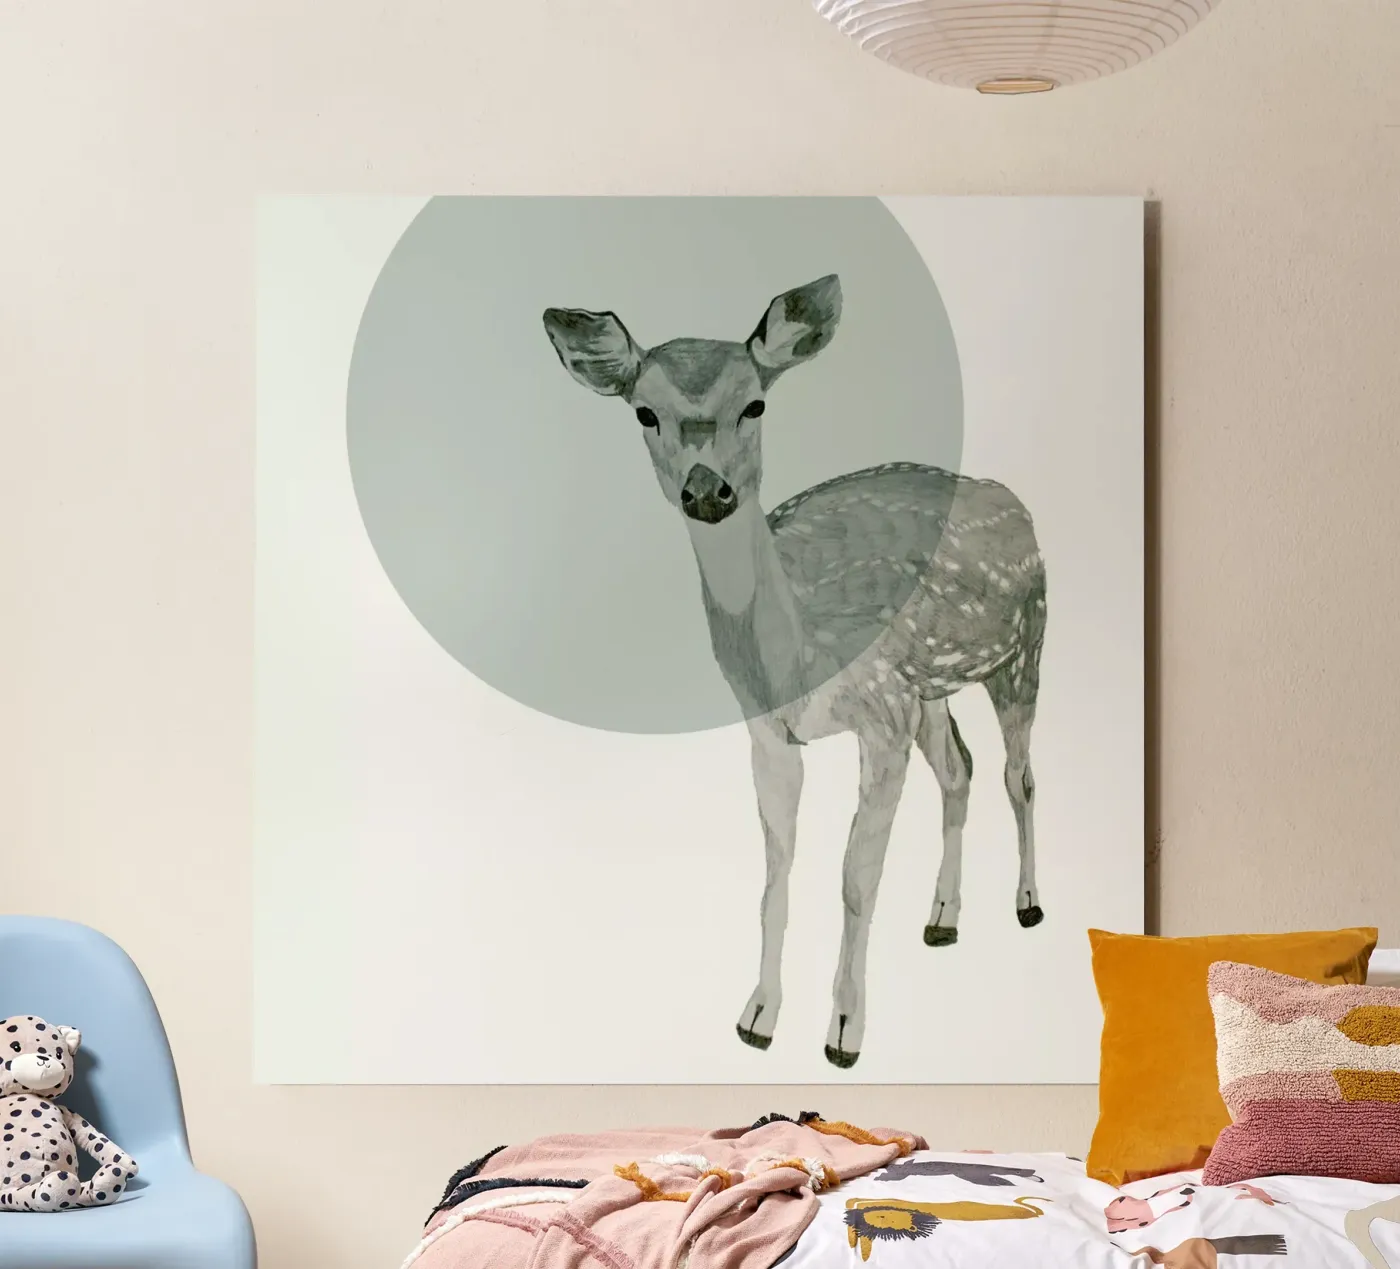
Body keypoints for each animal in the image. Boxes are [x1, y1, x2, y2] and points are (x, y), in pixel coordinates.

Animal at [543, 274, 1047, 1069]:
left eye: (755, 403)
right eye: (644, 411)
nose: (706, 489)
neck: (795, 656)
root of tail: (1016, 499)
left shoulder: (881, 712)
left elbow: (855, 879)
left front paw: (843, 1034)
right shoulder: (770, 731)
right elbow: (774, 878)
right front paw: (756, 1018)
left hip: (1024, 641)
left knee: (1017, 772)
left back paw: (1027, 905)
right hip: (932, 685)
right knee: (960, 767)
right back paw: (942, 918)